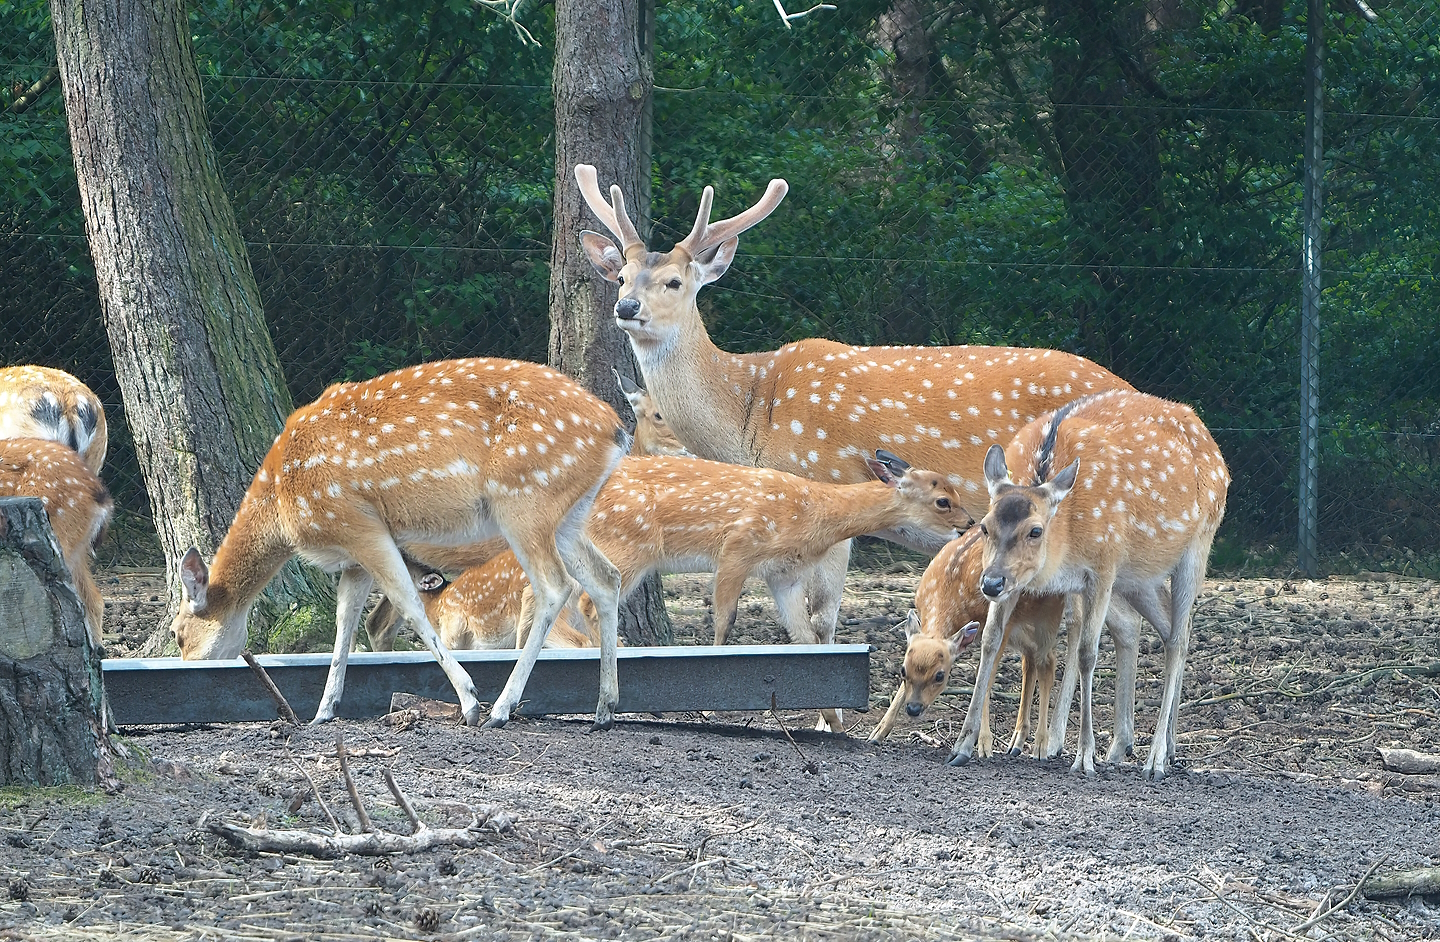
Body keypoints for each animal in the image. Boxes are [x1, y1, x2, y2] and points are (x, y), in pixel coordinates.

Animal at [167, 357, 629, 730]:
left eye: (178, 633)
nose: (186, 670)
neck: (281, 501)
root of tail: (617, 431)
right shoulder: (352, 556)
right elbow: (345, 621)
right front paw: (324, 710)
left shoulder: (358, 523)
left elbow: (409, 605)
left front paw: (469, 701)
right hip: (568, 515)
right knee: (607, 578)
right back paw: (604, 710)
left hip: (523, 499)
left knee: (555, 585)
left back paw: (500, 709)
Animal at [947, 389, 1229, 779]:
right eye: (985, 526)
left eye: (1035, 530)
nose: (989, 583)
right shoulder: (1027, 579)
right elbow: (990, 641)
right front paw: (962, 746)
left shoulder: (1104, 565)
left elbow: (1087, 653)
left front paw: (1083, 757)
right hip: (1138, 574)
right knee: (1159, 626)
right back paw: (1147, 747)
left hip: (1198, 544)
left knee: (1178, 639)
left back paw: (1155, 758)